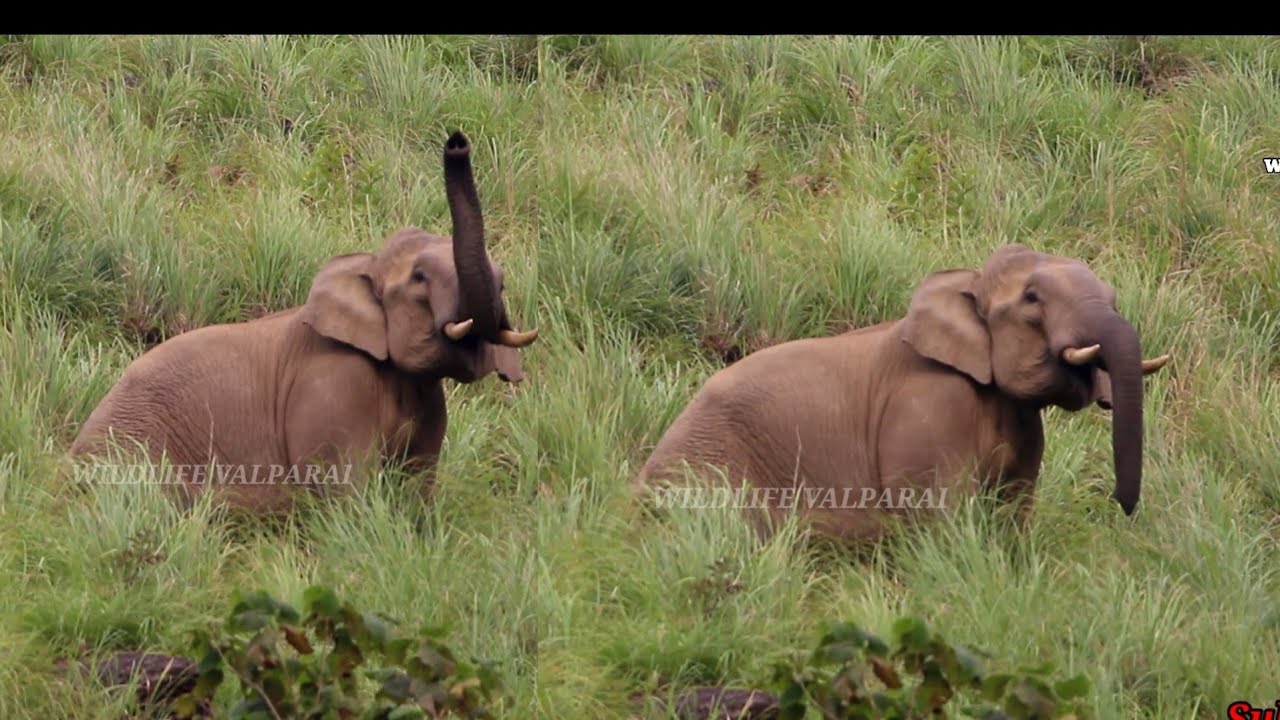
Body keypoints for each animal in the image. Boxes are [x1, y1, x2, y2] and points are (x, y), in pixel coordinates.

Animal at [69, 131, 538, 514]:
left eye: (504, 280)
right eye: (420, 277)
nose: (457, 141)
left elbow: (418, 481)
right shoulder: (333, 387)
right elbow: (343, 487)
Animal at [634, 244, 1170, 542]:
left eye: (1114, 298)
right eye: (1032, 299)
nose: (1119, 505)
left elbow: (1013, 507)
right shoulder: (929, 407)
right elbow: (936, 513)